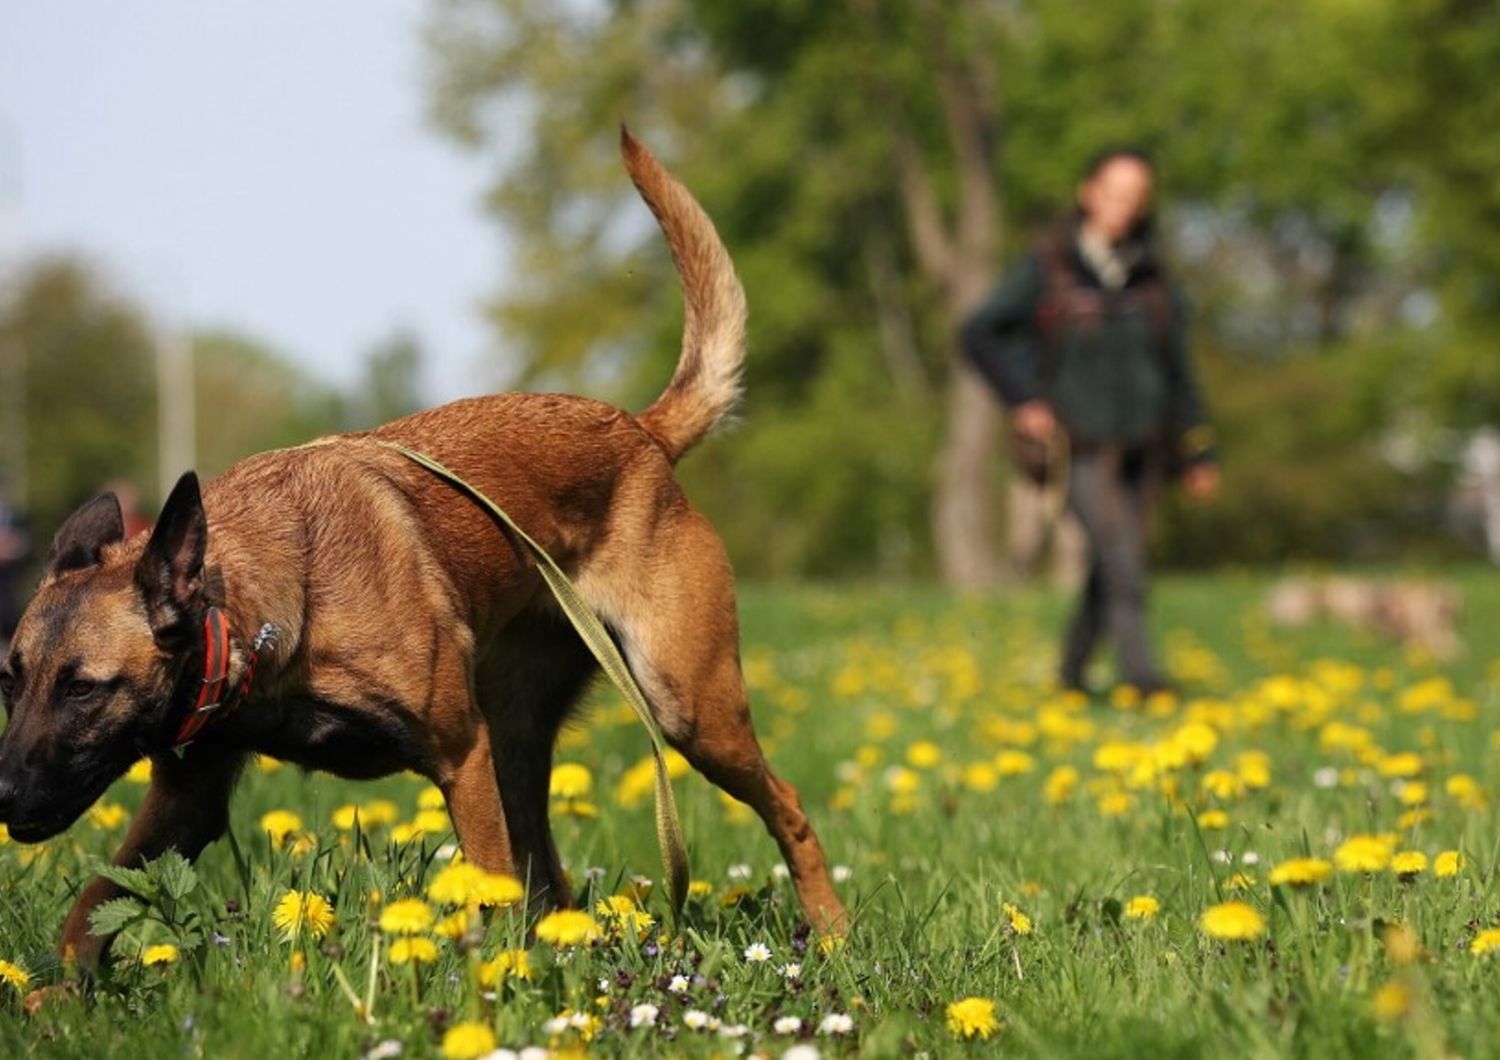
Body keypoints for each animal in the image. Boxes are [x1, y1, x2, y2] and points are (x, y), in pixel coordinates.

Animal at [0, 126, 846, 971]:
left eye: (84, 688)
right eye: (11, 680)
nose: (2, 797)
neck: (267, 616)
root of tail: (641, 432)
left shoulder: (459, 755)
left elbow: (486, 887)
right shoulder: (190, 798)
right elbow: (87, 914)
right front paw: (49, 994)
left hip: (684, 708)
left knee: (786, 807)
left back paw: (832, 930)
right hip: (519, 739)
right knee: (551, 880)